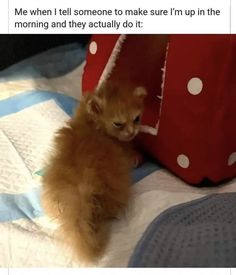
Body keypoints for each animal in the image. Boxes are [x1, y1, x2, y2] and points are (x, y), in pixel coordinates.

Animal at [41, 82, 147, 266]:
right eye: (118, 124)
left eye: (137, 119)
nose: (132, 132)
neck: (93, 124)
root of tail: (78, 188)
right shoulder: (121, 146)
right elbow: (129, 151)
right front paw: (136, 156)